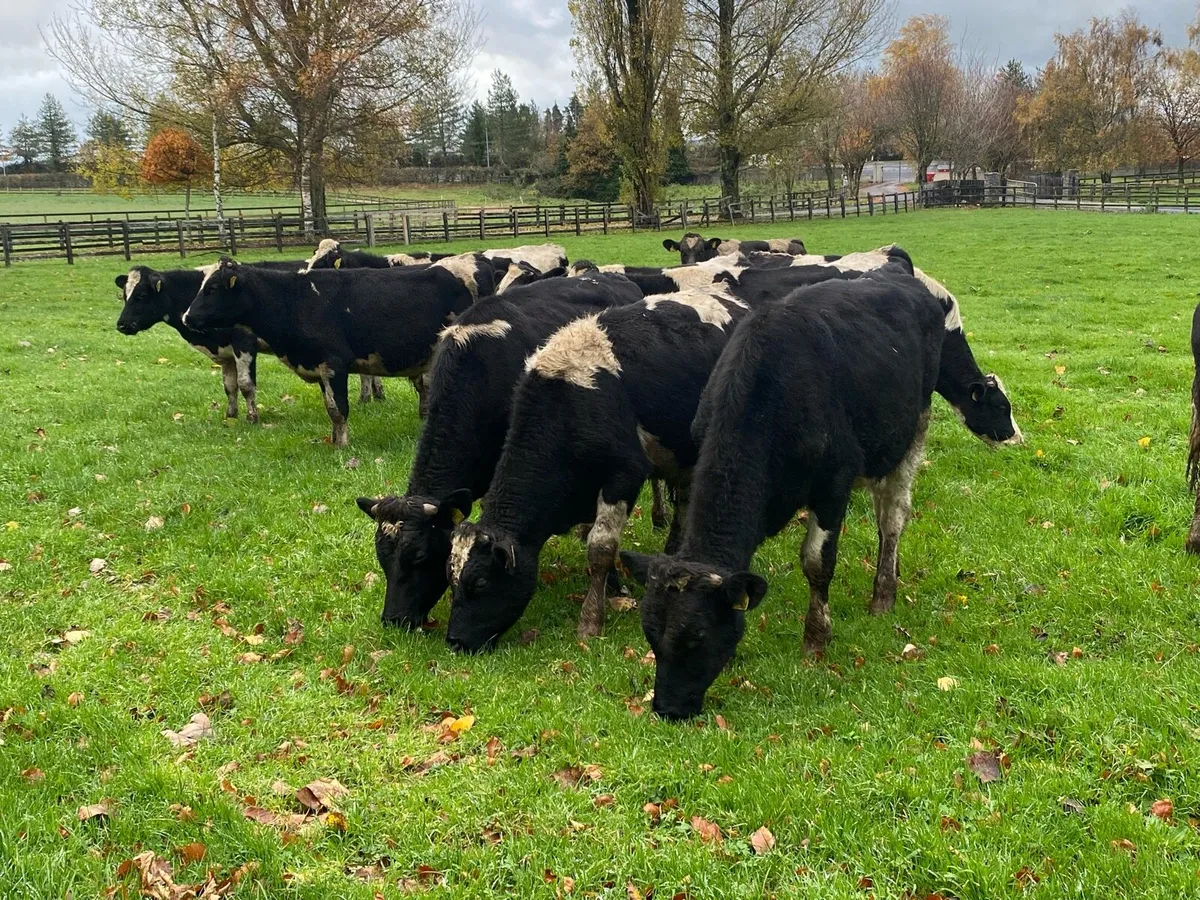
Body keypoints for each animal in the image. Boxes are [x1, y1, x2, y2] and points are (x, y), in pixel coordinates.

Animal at [181, 254, 495, 445]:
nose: (186, 316)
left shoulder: (334, 363)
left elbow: (337, 408)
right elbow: (329, 406)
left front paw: (342, 445)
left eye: (212, 289)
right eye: (201, 286)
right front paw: (333, 439)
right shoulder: (319, 366)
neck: (294, 299)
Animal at [442, 285, 752, 653]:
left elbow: (600, 548)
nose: (455, 640)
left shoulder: (623, 476)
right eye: (451, 580)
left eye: (480, 583)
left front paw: (591, 620)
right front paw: (615, 589)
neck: (569, 401)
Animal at [620, 273, 1021, 720]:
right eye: (650, 634)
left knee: (892, 519)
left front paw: (816, 638)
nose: (667, 709)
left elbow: (816, 562)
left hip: (911, 432)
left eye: (698, 638)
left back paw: (884, 593)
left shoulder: (834, 483)